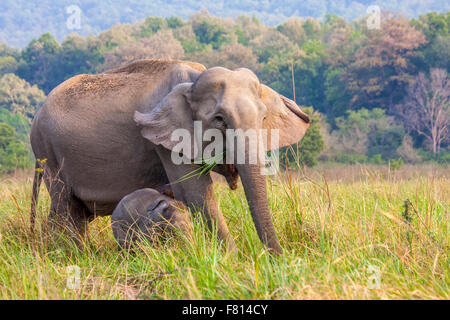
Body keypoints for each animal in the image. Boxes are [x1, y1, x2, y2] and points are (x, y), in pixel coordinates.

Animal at [29, 58, 310, 254]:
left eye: (263, 118)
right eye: (219, 120)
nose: (278, 259)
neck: (194, 79)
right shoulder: (165, 141)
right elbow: (197, 193)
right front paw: (233, 259)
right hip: (48, 154)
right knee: (66, 209)